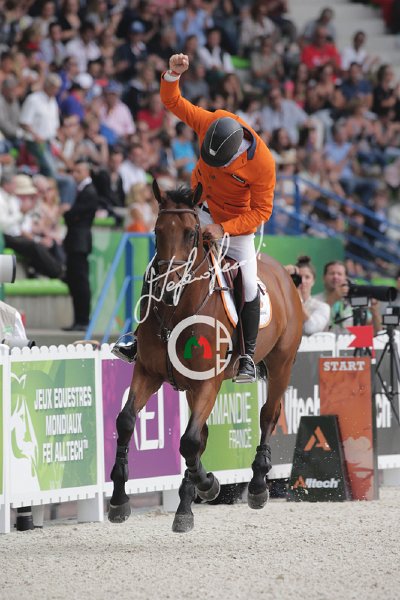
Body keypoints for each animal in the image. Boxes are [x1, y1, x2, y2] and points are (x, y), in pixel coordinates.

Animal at [108, 180, 303, 532]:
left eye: (190, 234)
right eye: (156, 231)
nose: (168, 288)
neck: (177, 309)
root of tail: (284, 274)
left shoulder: (206, 384)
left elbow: (189, 441)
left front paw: (193, 500)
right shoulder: (148, 372)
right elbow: (128, 421)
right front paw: (119, 500)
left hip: (281, 364)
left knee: (268, 414)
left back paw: (257, 485)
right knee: (203, 434)